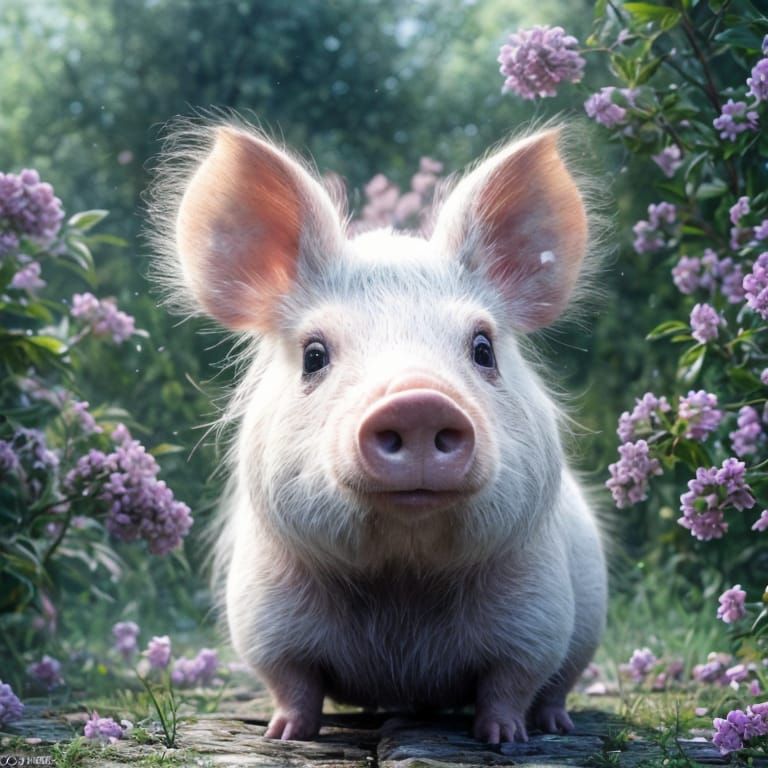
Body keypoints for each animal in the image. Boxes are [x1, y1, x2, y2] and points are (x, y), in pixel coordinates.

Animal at [150, 119, 607, 744]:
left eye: (483, 347)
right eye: (314, 355)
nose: (417, 400)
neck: (401, 582)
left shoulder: (540, 613)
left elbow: (511, 682)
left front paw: (504, 739)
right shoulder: (261, 616)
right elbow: (291, 681)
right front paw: (283, 735)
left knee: (558, 684)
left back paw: (556, 723)